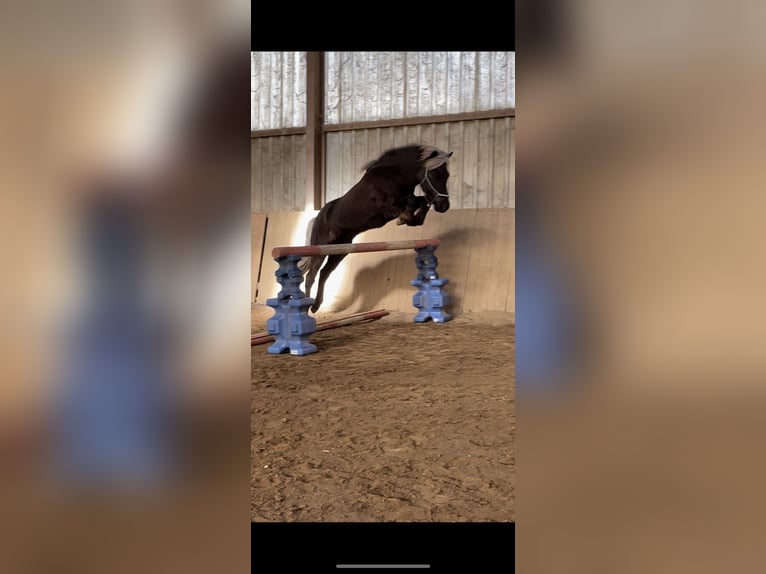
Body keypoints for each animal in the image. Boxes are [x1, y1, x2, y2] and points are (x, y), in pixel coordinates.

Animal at [300, 144, 453, 313]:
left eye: (447, 175)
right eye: (434, 174)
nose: (444, 206)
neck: (392, 176)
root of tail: (317, 217)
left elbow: (421, 201)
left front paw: (410, 220)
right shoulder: (387, 207)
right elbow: (412, 203)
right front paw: (405, 219)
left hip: (340, 251)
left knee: (324, 273)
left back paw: (316, 305)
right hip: (321, 249)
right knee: (311, 276)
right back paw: (308, 306)